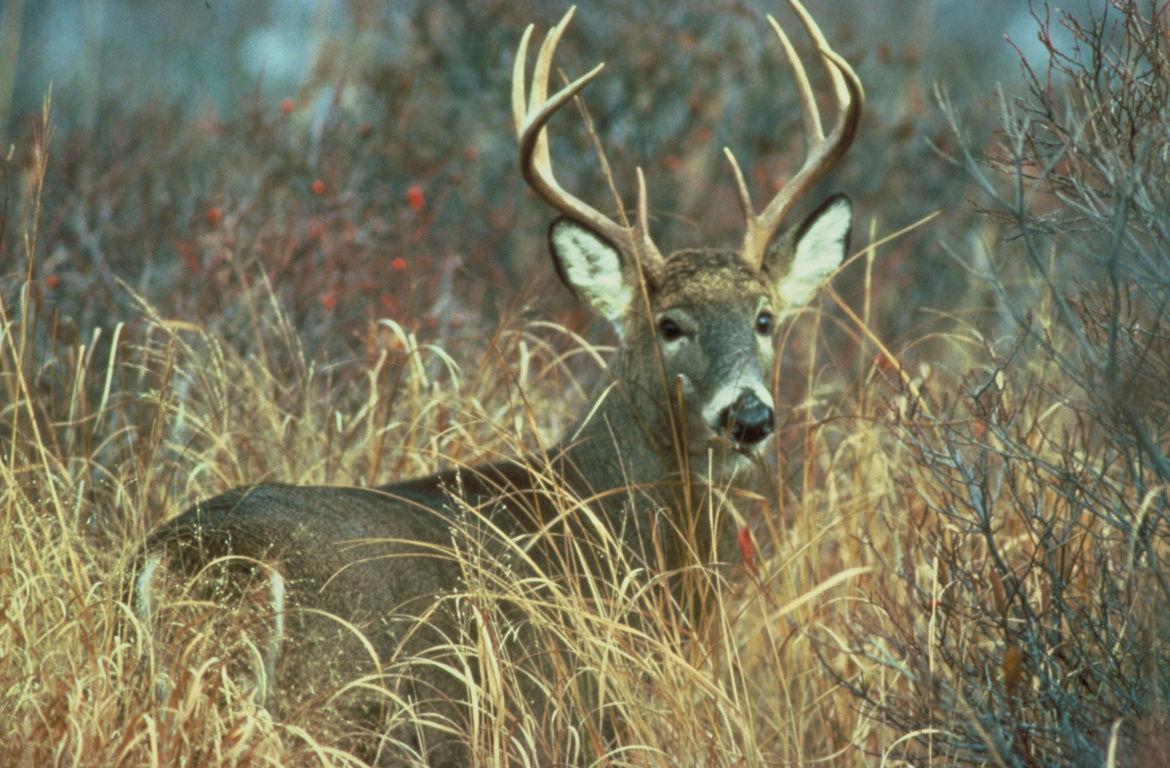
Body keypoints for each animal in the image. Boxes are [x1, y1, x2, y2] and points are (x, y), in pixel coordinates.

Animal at [132, 2, 862, 765]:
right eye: (670, 324)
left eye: (765, 318)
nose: (749, 415)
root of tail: (201, 560)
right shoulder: (571, 714)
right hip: (337, 707)